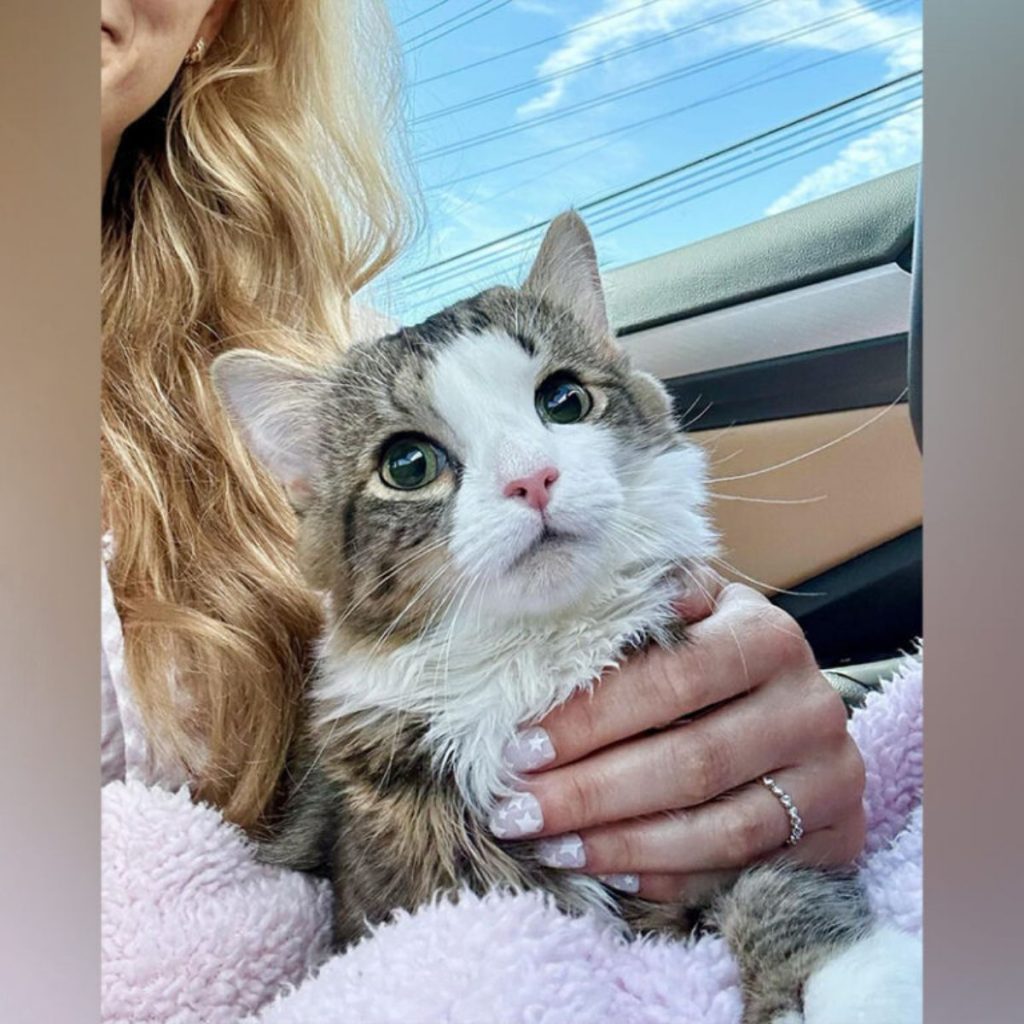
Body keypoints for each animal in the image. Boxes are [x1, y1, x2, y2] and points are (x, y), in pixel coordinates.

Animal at [214, 214, 921, 1024]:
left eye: (563, 401)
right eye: (409, 466)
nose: (533, 478)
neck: (538, 658)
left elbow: (786, 886)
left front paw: (861, 981)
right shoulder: (392, 898)